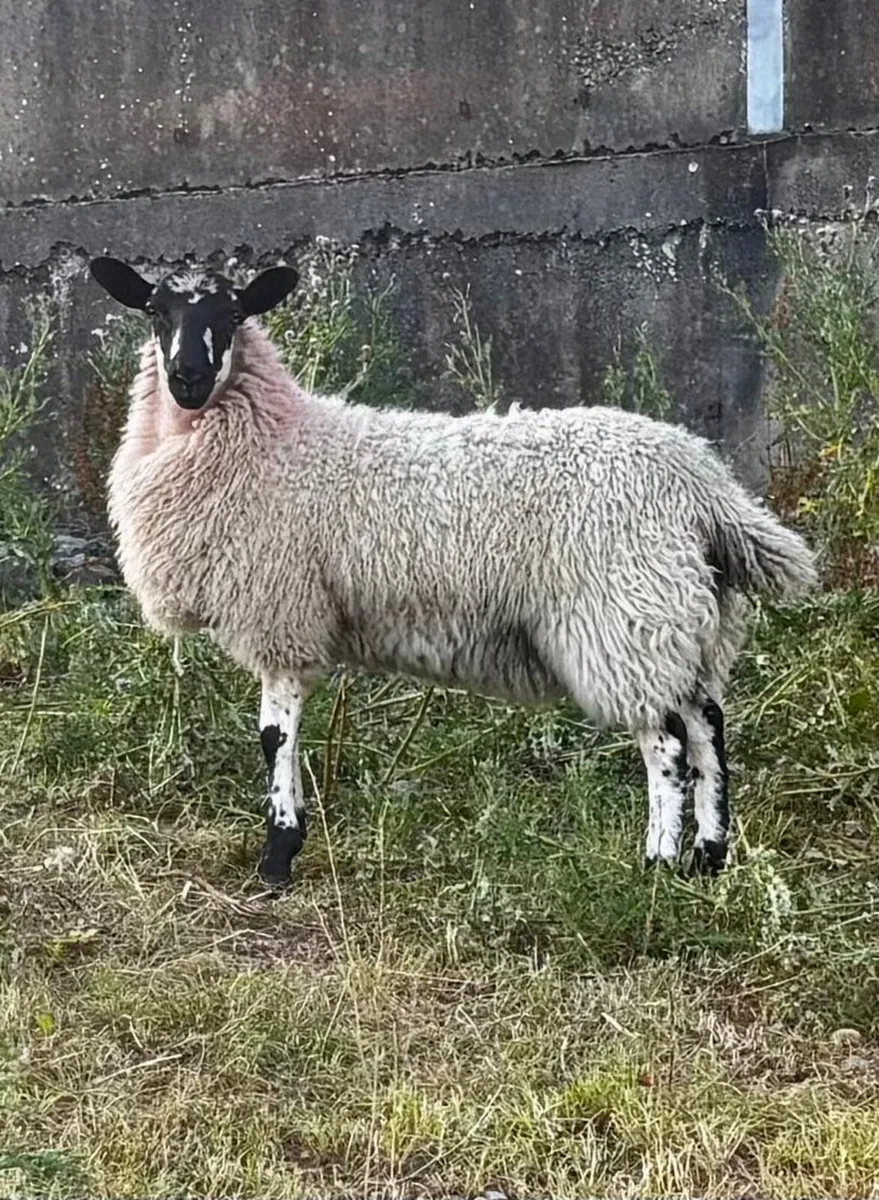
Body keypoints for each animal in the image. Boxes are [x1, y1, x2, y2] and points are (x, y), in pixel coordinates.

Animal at [89, 254, 818, 889]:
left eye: (235, 311)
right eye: (154, 310)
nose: (187, 376)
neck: (274, 440)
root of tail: (702, 481)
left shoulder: (283, 612)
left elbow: (274, 737)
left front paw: (278, 853)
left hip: (626, 616)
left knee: (665, 741)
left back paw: (658, 861)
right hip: (682, 618)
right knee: (706, 724)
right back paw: (708, 855)